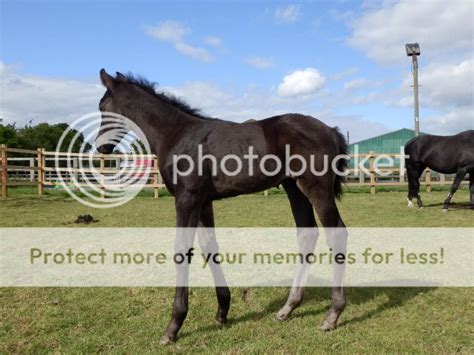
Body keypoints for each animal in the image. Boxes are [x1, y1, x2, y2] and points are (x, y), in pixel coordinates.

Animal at [96, 69, 350, 344]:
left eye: (102, 107)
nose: (101, 147)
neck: (175, 134)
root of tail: (331, 130)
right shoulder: (203, 202)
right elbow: (210, 248)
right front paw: (222, 311)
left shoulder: (186, 198)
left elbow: (182, 250)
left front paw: (173, 327)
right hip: (294, 188)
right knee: (307, 234)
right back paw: (288, 308)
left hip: (316, 187)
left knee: (336, 233)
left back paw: (332, 315)